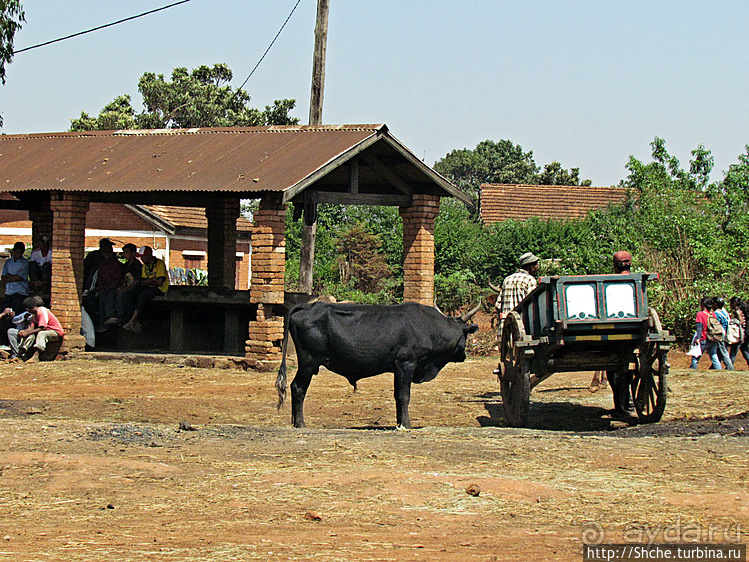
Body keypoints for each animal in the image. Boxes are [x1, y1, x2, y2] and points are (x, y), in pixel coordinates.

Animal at [274, 300, 480, 426]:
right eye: (465, 335)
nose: (464, 355)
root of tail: (308, 306)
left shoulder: (397, 368)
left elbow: (397, 396)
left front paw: (399, 422)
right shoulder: (406, 364)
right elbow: (404, 396)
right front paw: (406, 424)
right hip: (308, 362)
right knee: (298, 388)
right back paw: (300, 423)